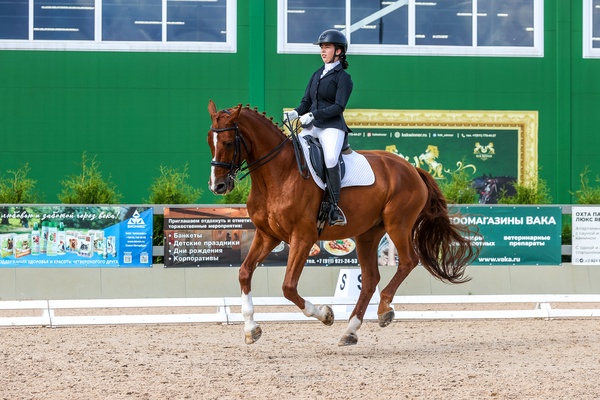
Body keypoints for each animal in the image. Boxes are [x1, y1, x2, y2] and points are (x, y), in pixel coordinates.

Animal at [206, 101, 478, 346]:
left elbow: (288, 287)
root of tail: (412, 169)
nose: (218, 186)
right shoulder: (267, 235)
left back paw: (384, 309)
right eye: (210, 140)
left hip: (398, 224)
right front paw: (251, 329)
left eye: (228, 142)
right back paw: (351, 331)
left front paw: (326, 314)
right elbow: (244, 273)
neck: (277, 174)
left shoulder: (303, 236)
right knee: (370, 279)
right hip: (367, 234)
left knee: (408, 261)